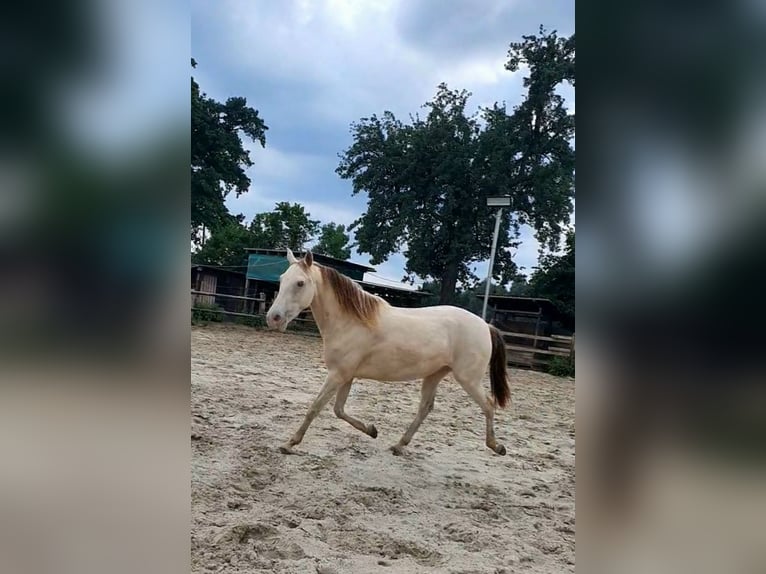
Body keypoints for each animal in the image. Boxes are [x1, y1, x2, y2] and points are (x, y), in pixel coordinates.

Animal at [266, 248, 511, 456]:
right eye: (281, 280)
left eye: (300, 283)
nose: (273, 318)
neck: (351, 322)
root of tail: (485, 326)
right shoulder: (346, 376)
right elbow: (339, 410)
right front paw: (372, 430)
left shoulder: (337, 375)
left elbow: (315, 408)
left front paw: (289, 444)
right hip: (435, 374)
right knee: (426, 408)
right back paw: (399, 445)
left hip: (468, 378)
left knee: (488, 405)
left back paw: (497, 446)